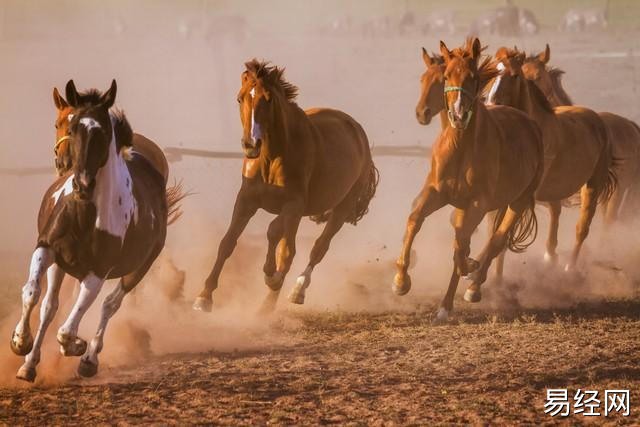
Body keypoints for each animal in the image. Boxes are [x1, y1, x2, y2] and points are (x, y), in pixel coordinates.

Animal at [11, 82, 182, 382]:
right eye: (69, 126)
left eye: (101, 132)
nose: (81, 182)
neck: (85, 213)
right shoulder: (46, 249)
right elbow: (33, 293)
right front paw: (21, 342)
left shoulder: (97, 273)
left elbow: (68, 329)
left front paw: (76, 346)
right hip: (62, 265)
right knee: (50, 306)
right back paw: (30, 364)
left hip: (138, 269)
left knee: (109, 305)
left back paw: (89, 358)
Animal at [192, 60, 378, 312]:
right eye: (240, 98)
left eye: (268, 99)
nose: (250, 144)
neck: (273, 157)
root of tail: (358, 132)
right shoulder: (246, 200)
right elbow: (227, 242)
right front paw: (204, 296)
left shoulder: (293, 206)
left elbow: (279, 241)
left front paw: (271, 277)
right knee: (286, 245)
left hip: (341, 208)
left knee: (317, 248)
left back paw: (293, 292)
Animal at [392, 38, 544, 322]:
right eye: (446, 76)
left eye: (472, 77)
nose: (459, 115)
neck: (460, 147)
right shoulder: (435, 193)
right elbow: (415, 220)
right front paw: (400, 281)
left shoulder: (477, 204)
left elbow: (462, 245)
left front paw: (469, 267)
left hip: (518, 201)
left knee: (496, 240)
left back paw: (467, 290)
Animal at [488, 47, 616, 274]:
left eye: (515, 75)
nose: (491, 102)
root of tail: (597, 120)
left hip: (592, 185)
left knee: (582, 227)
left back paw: (569, 268)